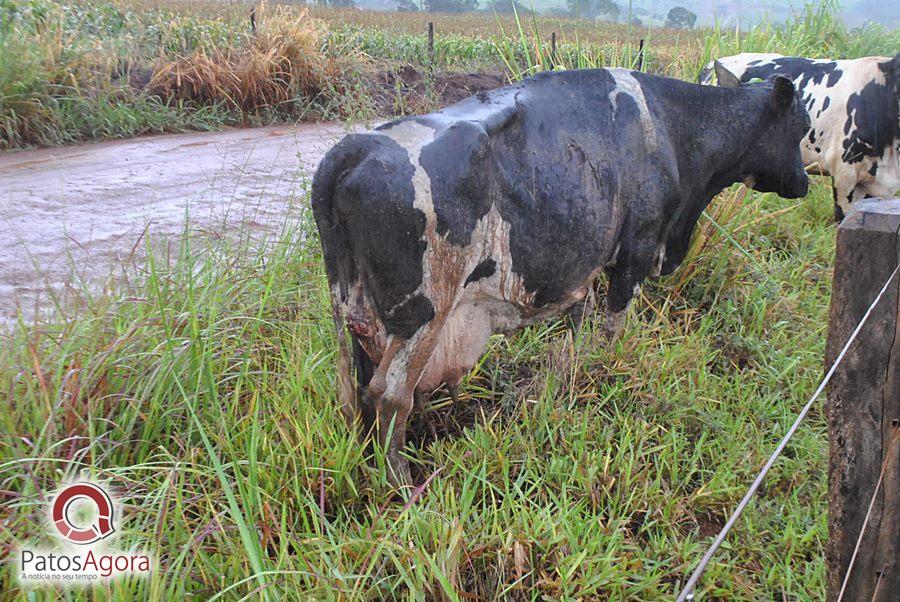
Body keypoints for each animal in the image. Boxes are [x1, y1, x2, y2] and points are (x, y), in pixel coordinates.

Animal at [314, 69, 808, 482]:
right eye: (802, 127)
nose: (805, 183)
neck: (677, 130)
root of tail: (353, 148)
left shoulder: (583, 270)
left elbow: (577, 328)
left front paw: (571, 377)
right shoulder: (635, 251)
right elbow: (613, 327)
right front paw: (606, 370)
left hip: (356, 314)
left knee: (358, 390)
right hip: (424, 313)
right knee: (390, 394)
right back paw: (400, 481)